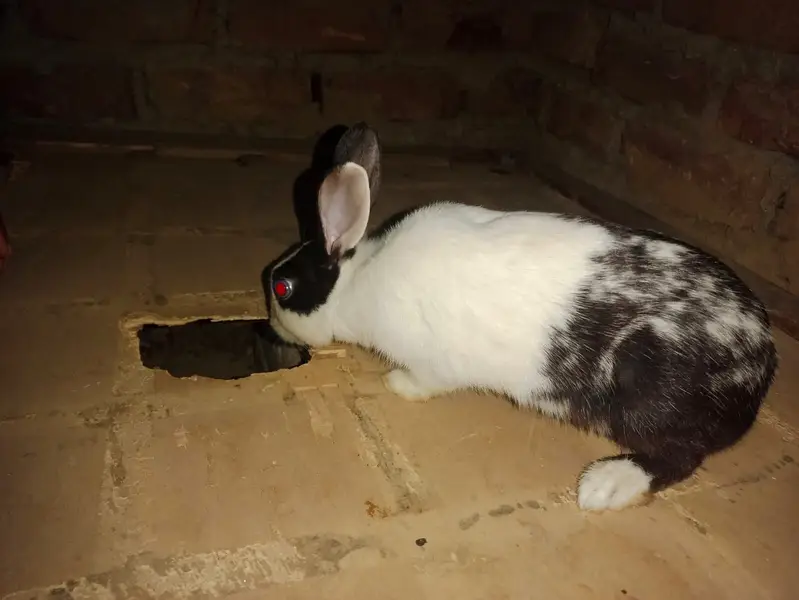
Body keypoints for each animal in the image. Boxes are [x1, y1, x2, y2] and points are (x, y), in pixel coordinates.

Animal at [266, 122, 779, 512]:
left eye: (282, 287)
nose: (271, 322)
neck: (357, 281)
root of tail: (762, 359)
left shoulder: (435, 365)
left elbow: (424, 382)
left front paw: (397, 385)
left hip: (651, 399)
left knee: (683, 455)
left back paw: (606, 485)